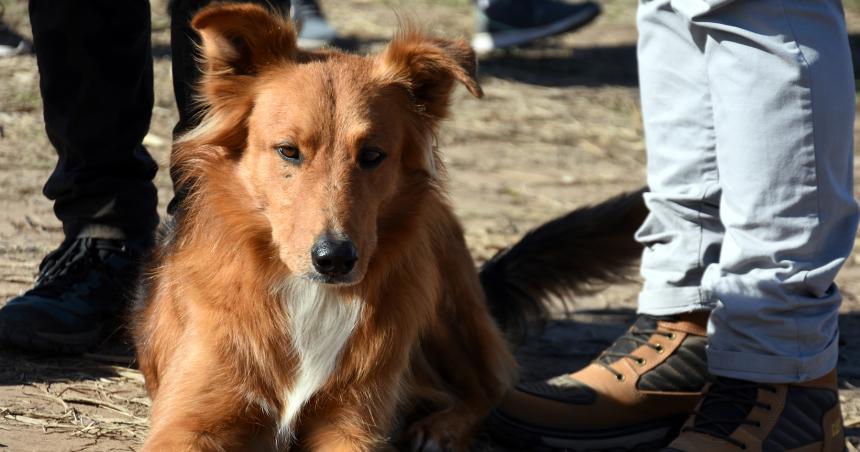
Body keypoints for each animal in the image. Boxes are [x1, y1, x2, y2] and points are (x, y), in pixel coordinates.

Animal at [133, 4, 644, 452]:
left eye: (373, 155)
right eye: (288, 151)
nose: (335, 259)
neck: (307, 295)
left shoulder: (352, 422)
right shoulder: (189, 421)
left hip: (442, 302)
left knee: (492, 386)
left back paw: (442, 429)